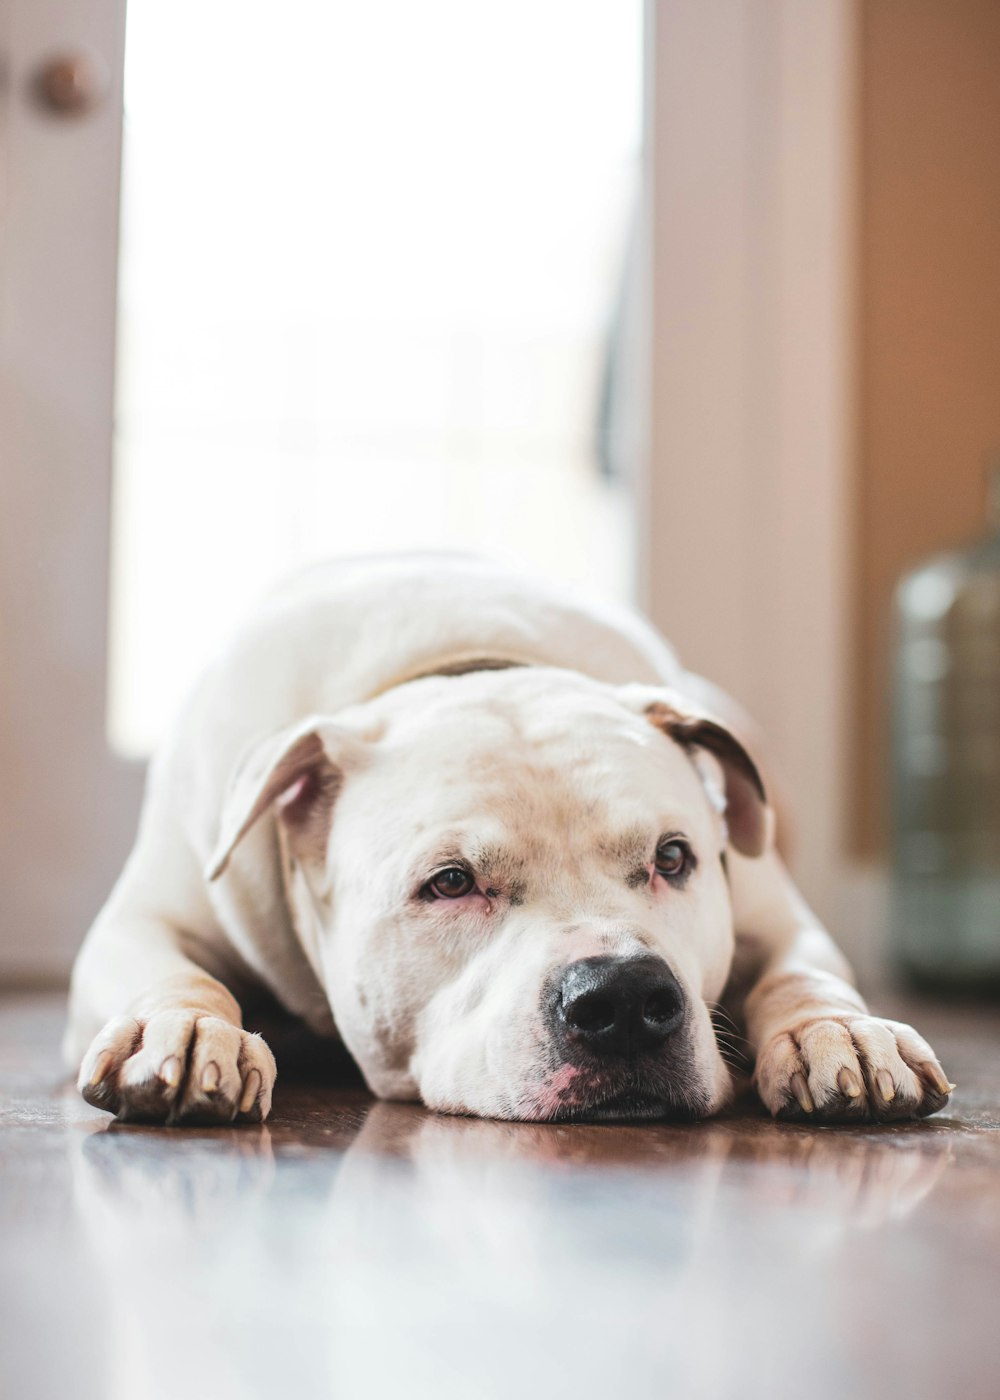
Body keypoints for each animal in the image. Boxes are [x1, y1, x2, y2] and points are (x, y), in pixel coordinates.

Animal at [66, 554, 952, 1125]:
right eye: (451, 882)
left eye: (673, 859)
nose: (624, 997)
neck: (468, 663)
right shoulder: (145, 920)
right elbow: (172, 971)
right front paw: (183, 1028)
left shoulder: (774, 912)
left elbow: (802, 972)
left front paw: (837, 1033)